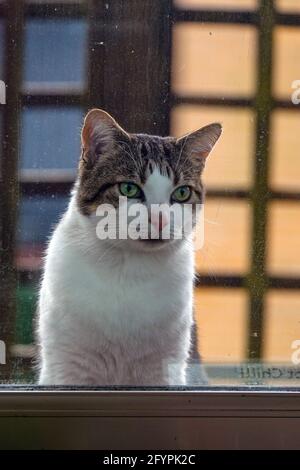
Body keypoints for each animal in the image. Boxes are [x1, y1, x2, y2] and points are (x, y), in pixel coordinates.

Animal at [37, 110, 220, 386]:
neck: (129, 267)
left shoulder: (165, 367)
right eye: (128, 188)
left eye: (182, 193)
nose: (159, 219)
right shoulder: (68, 365)